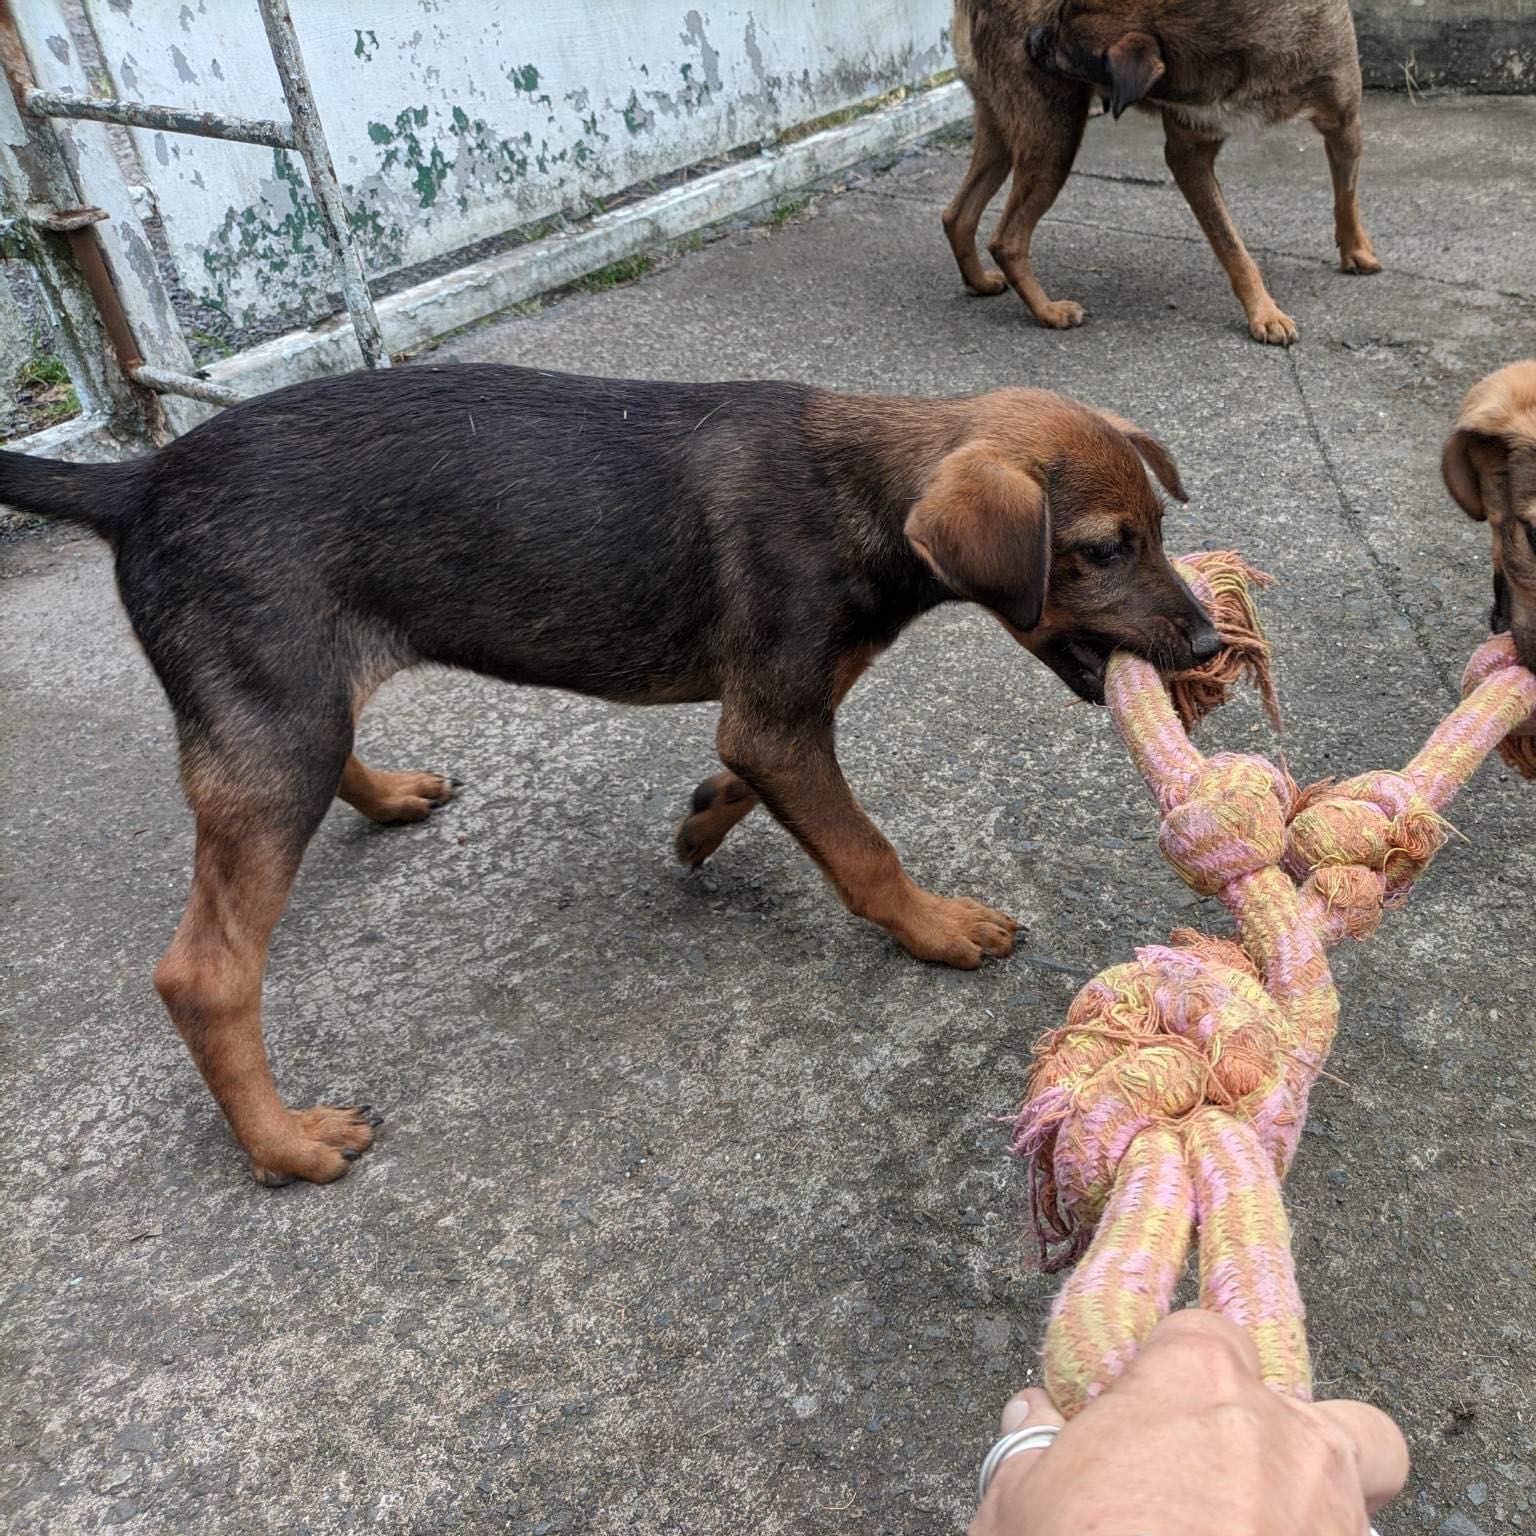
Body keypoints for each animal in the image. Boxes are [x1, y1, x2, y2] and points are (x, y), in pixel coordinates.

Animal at [3, 362, 1222, 1185]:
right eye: (1103, 550)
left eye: (1160, 531)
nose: (1212, 643)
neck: (859, 493)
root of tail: (138, 482)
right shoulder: (779, 714)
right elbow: (863, 849)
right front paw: (937, 928)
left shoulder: (775, 715)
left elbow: (765, 789)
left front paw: (701, 824)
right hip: (274, 727)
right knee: (203, 974)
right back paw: (285, 1143)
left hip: (294, 698)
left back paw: (390, 793)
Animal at [946, 0, 1382, 342]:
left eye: (1063, 45)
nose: (1033, 37)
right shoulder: (1187, 154)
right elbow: (1232, 247)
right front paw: (1264, 313)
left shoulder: (1344, 120)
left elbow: (1347, 194)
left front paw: (1355, 249)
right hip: (1054, 136)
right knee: (1006, 239)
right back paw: (1049, 312)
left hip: (1005, 131)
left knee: (956, 214)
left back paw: (979, 281)